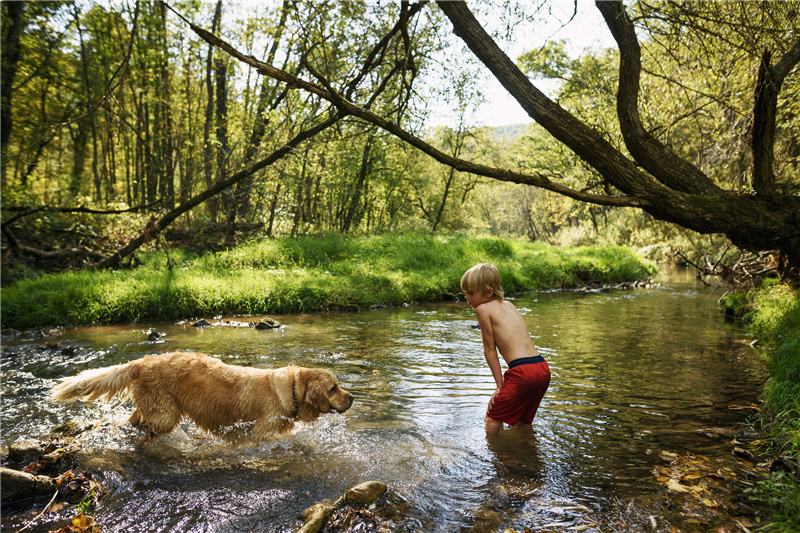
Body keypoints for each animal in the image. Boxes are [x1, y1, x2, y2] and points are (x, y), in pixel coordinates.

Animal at [50, 352, 350, 442]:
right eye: (333, 388)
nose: (352, 398)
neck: (291, 389)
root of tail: (143, 362)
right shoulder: (261, 432)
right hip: (165, 415)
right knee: (150, 429)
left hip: (152, 408)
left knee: (135, 418)